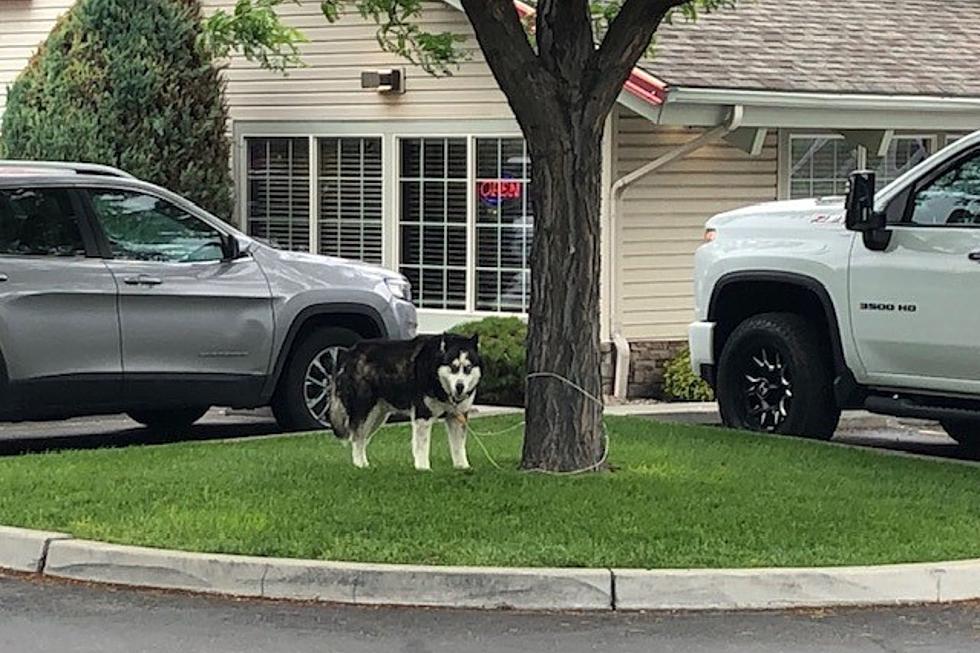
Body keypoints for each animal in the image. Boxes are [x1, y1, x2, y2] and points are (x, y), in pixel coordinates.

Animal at [330, 336, 482, 468]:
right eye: (453, 367)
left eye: (468, 368)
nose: (459, 386)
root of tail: (349, 353)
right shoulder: (422, 414)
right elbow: (422, 446)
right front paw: (423, 468)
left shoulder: (457, 416)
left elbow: (458, 446)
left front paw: (462, 467)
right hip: (364, 410)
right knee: (356, 437)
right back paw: (359, 466)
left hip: (377, 416)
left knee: (361, 439)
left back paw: (365, 465)